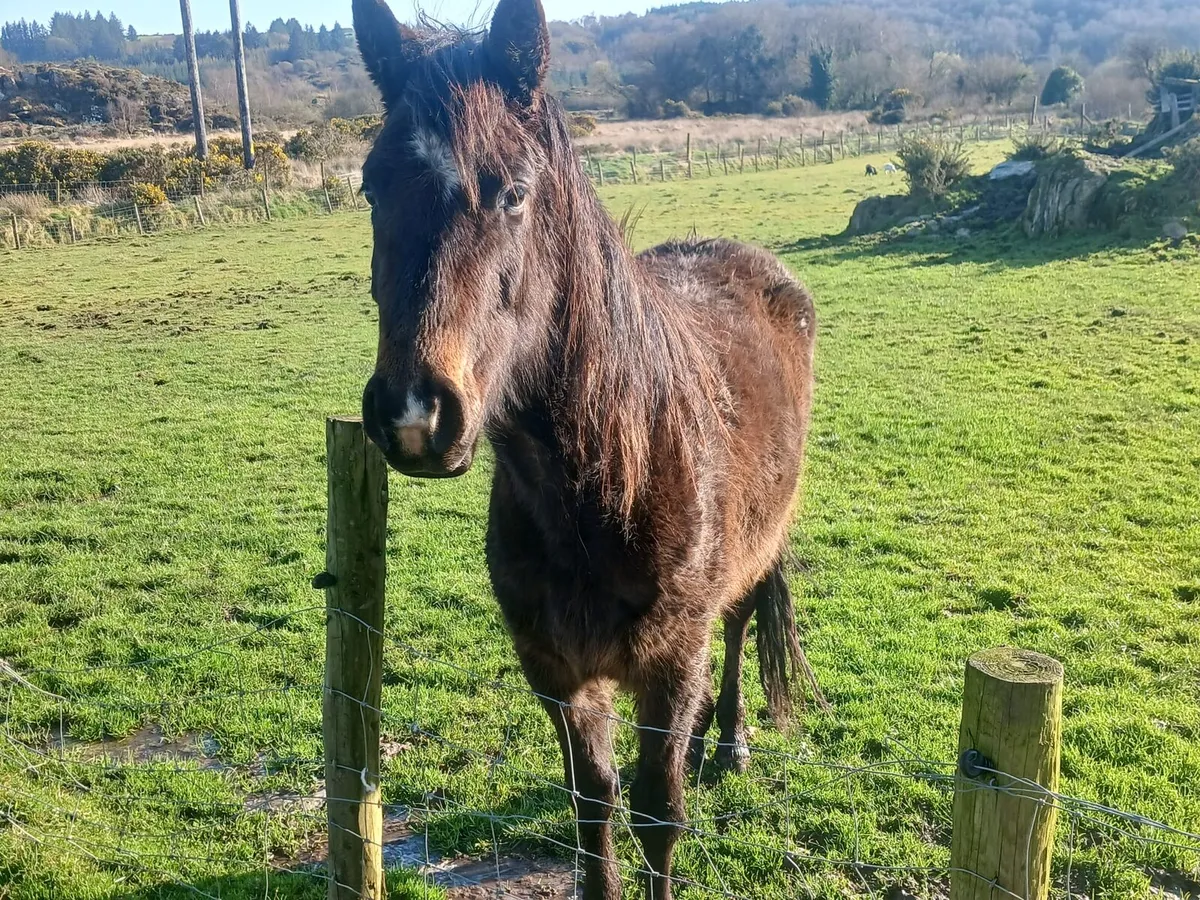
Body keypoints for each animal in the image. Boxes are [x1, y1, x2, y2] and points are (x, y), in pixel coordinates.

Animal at [351, 0, 821, 896]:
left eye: (513, 193)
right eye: (370, 186)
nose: (414, 415)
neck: (604, 484)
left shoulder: (669, 659)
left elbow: (658, 811)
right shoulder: (554, 667)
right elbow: (593, 802)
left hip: (750, 560)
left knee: (738, 629)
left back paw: (730, 742)